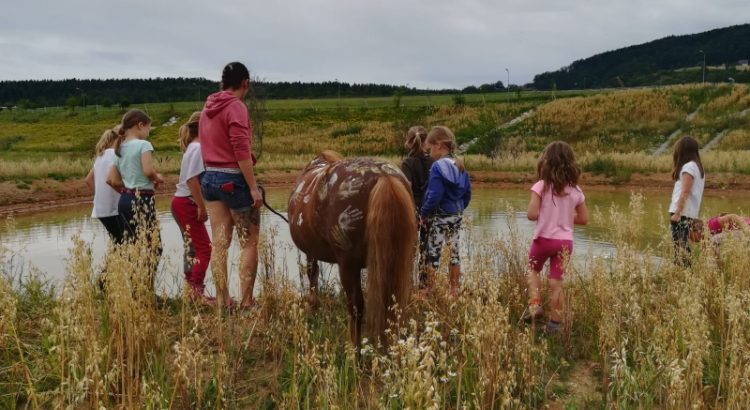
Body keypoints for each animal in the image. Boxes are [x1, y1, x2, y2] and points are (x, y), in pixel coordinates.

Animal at [288, 151, 418, 346]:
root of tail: (384, 176)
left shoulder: (312, 253)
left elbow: (312, 275)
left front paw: (313, 306)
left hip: (348, 265)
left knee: (356, 306)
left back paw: (354, 349)